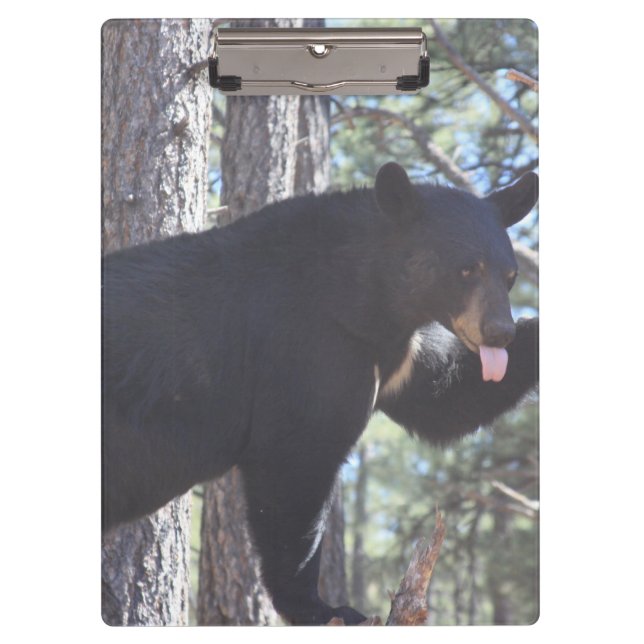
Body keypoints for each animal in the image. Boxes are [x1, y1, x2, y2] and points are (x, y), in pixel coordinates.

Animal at [102, 162, 539, 625]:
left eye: (510, 276)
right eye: (466, 269)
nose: (499, 332)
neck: (369, 297)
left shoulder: (396, 354)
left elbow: (447, 399)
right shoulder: (307, 346)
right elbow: (296, 462)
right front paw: (325, 607)